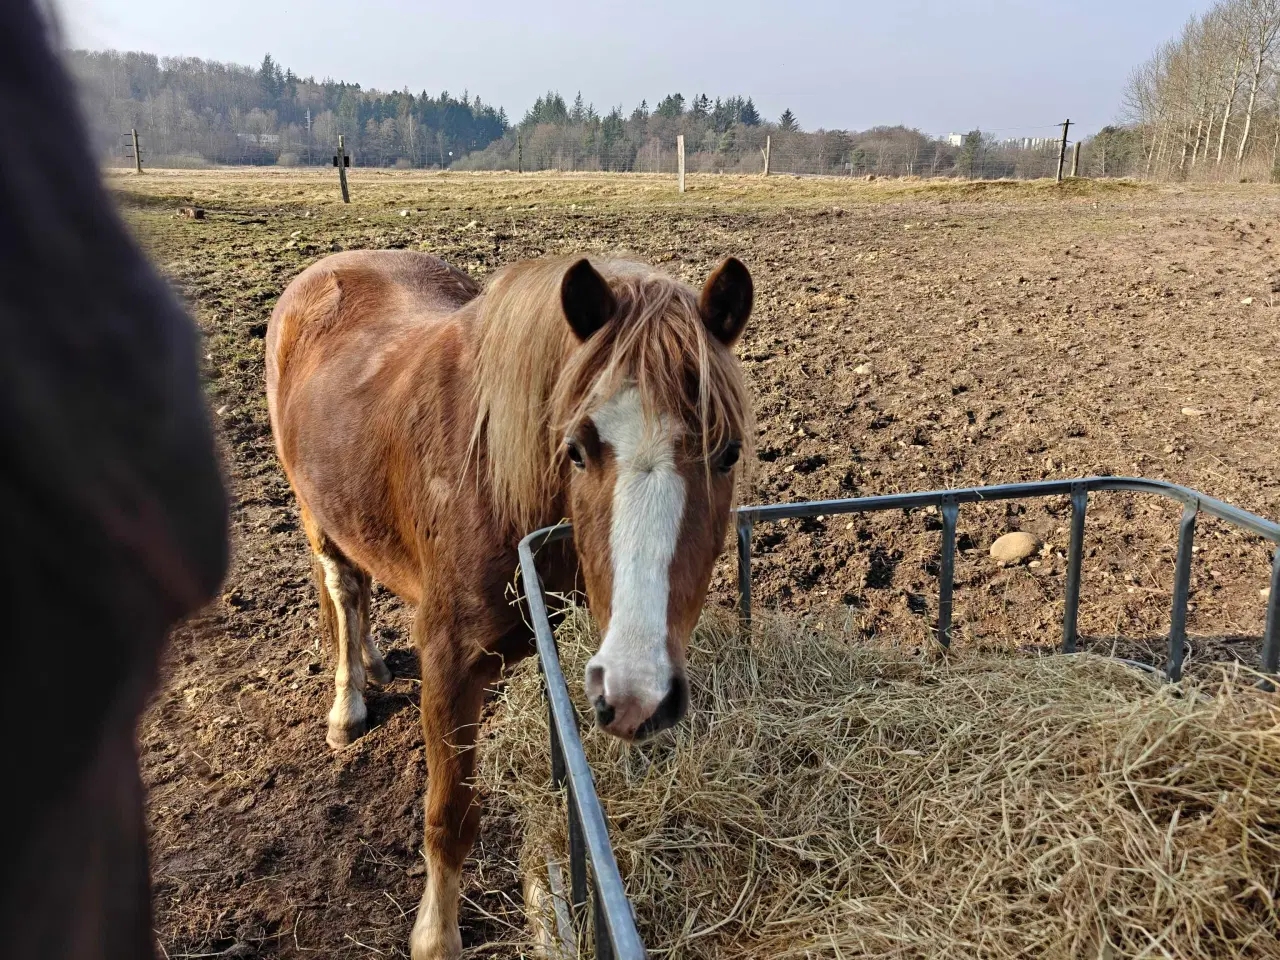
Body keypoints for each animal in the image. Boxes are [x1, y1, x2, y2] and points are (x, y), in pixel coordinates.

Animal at [266, 248, 753, 958]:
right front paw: (436, 937)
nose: (640, 692)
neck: (493, 480)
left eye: (728, 451)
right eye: (576, 449)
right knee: (344, 590)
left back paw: (377, 663)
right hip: (314, 514)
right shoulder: (449, 662)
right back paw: (348, 703)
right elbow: (449, 816)